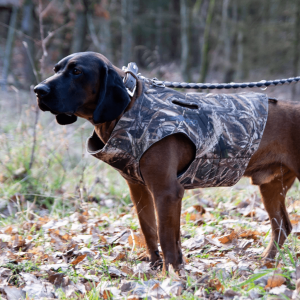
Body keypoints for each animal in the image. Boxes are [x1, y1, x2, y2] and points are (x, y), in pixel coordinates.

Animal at [34, 52, 300, 272]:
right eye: (56, 68)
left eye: (77, 71)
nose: (38, 90)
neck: (130, 106)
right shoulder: (139, 188)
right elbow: (150, 230)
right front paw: (157, 266)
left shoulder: (167, 191)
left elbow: (165, 235)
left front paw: (170, 275)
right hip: (270, 186)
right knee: (282, 226)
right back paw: (266, 263)